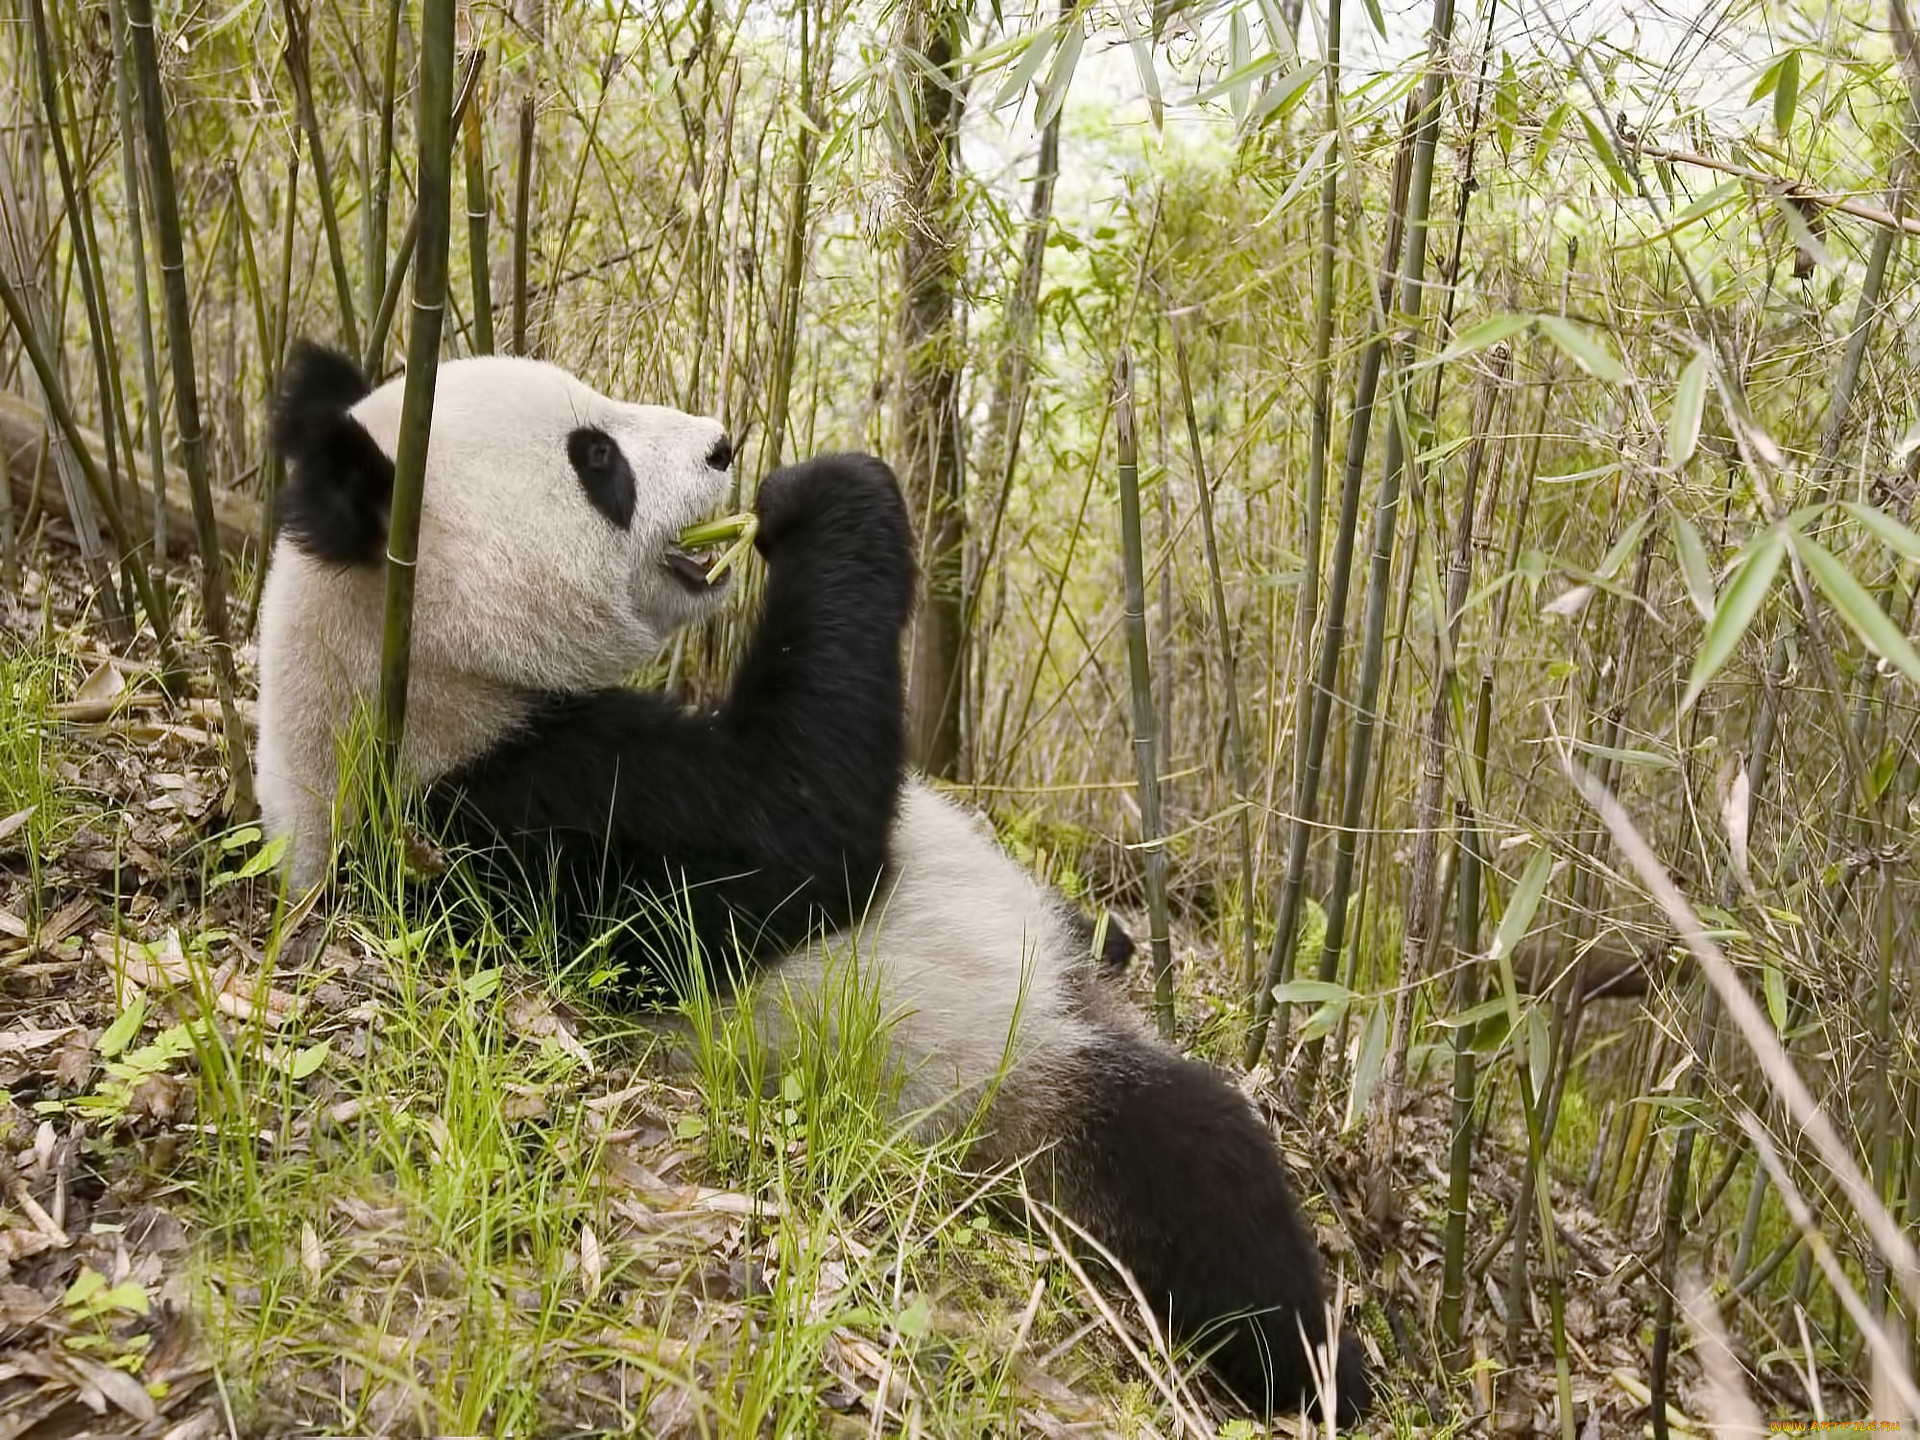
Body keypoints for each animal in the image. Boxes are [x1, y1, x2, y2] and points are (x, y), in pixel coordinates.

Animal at [255, 341, 1374, 1436]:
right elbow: (800, 828)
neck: (408, 678)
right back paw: (1325, 1369)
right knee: (1199, 1172)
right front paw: (824, 495)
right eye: (595, 460)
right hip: (1013, 1091)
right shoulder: (523, 817)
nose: (723, 444)